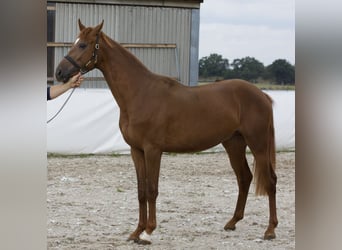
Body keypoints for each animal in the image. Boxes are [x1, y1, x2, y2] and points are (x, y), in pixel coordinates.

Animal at [54, 20, 276, 244]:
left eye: (83, 44)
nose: (59, 72)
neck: (140, 93)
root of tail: (262, 95)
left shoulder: (153, 150)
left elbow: (152, 189)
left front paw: (148, 230)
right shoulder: (136, 151)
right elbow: (141, 191)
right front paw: (136, 232)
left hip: (258, 144)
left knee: (270, 180)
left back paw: (270, 230)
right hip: (234, 143)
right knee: (244, 178)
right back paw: (232, 222)